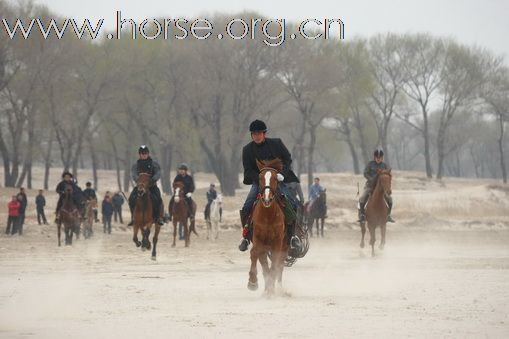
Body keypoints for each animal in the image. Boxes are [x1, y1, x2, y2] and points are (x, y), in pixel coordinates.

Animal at [247, 159, 288, 294]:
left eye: (275, 178)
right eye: (260, 178)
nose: (266, 199)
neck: (268, 216)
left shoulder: (277, 241)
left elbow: (275, 265)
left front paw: (271, 290)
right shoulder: (258, 239)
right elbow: (254, 253)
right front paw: (252, 282)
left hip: (284, 246)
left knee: (279, 266)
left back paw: (277, 289)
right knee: (265, 265)